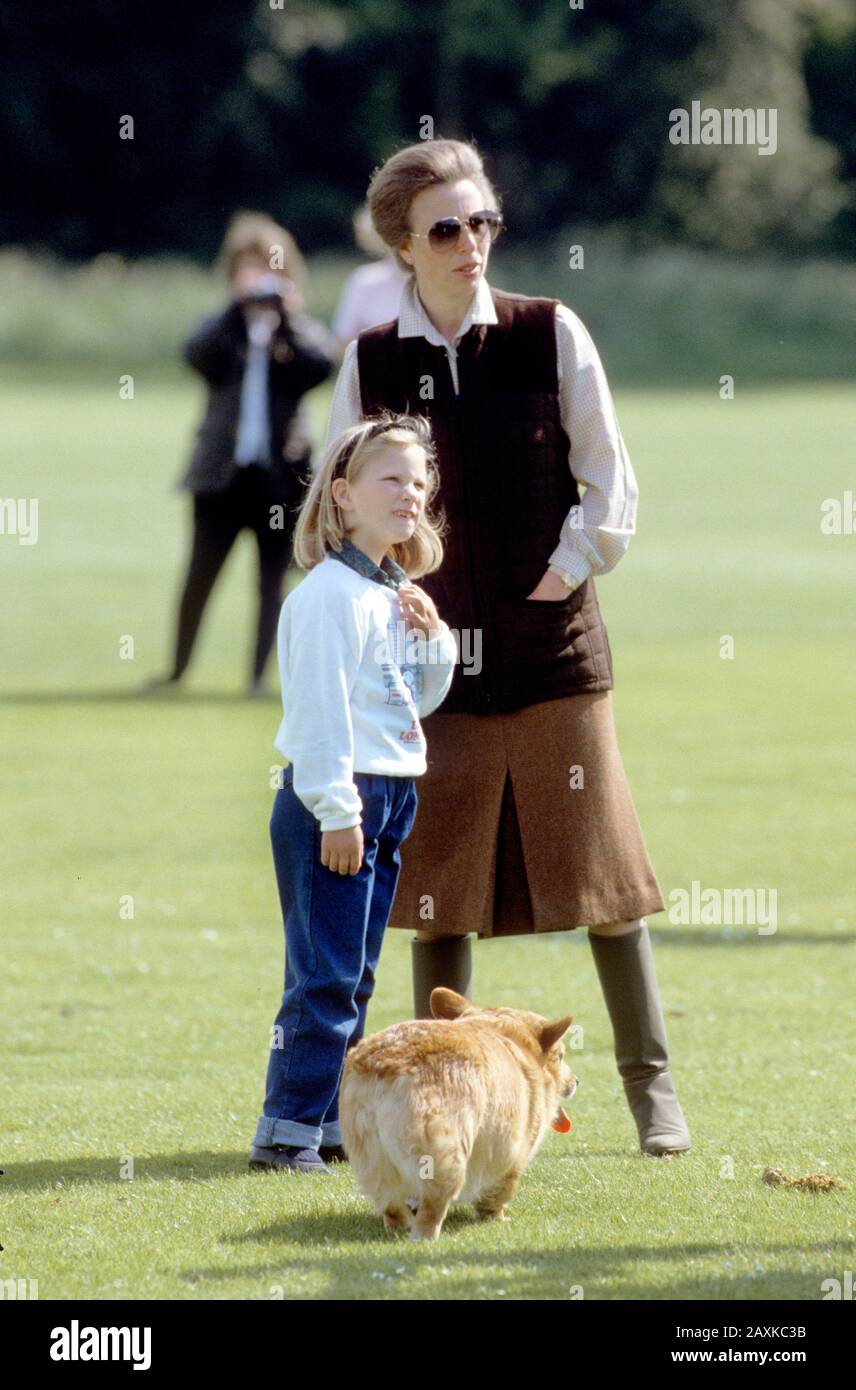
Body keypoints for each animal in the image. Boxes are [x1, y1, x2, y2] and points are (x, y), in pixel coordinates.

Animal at [339, 989, 575, 1239]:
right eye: (560, 1056)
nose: (576, 1081)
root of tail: (386, 1068)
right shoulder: (513, 1156)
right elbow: (497, 1194)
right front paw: (496, 1219)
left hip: (372, 1159)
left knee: (391, 1205)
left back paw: (399, 1228)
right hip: (445, 1155)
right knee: (431, 1207)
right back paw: (426, 1238)